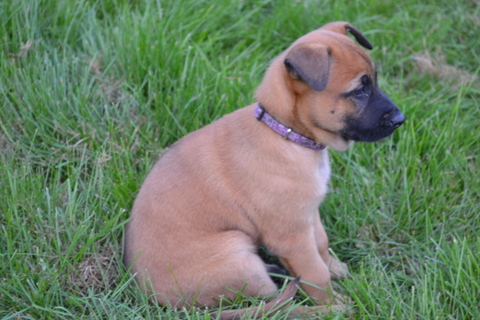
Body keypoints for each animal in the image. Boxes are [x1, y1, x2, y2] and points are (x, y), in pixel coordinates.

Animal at [124, 21, 404, 318]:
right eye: (358, 91)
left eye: (374, 81)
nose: (401, 119)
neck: (287, 135)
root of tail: (165, 304)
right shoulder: (291, 236)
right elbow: (314, 273)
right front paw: (333, 304)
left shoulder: (308, 214)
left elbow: (321, 244)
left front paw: (337, 269)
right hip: (239, 254)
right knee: (275, 305)